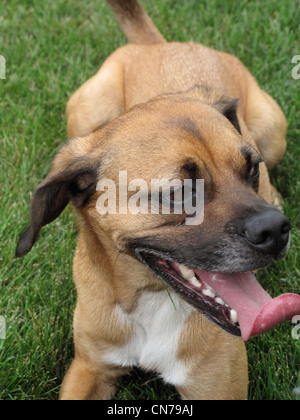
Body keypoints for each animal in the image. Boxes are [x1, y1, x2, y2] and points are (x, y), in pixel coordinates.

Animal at [15, 0, 300, 400]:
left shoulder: (216, 388)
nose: (276, 230)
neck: (152, 300)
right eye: (179, 193)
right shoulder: (88, 367)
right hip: (86, 110)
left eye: (252, 170)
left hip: (275, 134)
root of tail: (158, 45)